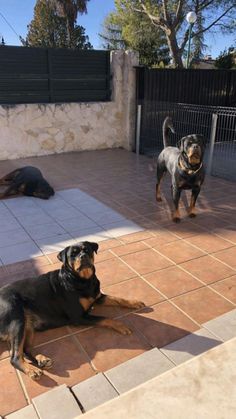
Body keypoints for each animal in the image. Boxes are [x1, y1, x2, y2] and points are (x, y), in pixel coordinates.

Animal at [0, 241, 145, 382]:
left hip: (28, 326)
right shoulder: (79, 317)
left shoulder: (98, 297)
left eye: (87, 250)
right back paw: (32, 370)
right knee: (14, 357)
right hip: (17, 319)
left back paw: (41, 360)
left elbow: (117, 298)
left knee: (24, 349)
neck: (84, 281)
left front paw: (135, 302)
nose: (83, 256)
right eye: (73, 255)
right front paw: (121, 325)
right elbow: (105, 318)